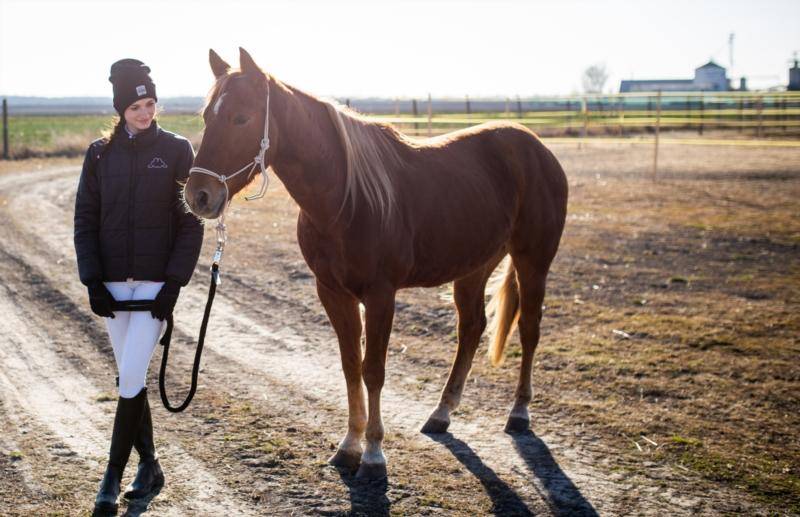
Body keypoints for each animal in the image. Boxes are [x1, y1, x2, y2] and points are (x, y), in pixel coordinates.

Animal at [183, 48, 568, 479]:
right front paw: (349, 446)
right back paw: (442, 413)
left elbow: (374, 370)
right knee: (471, 328)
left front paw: (373, 454)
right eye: (206, 116)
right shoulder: (333, 292)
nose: (199, 196)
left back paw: (519, 413)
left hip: (533, 260)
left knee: (530, 329)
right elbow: (351, 365)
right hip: (474, 267)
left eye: (241, 117)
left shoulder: (381, 295)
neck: (345, 200)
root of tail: (535, 146)